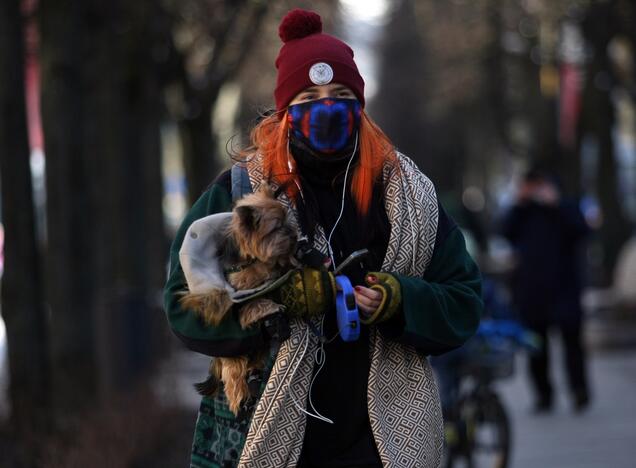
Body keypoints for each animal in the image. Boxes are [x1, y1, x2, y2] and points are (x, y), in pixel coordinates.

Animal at [179, 185, 298, 414]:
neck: (250, 257)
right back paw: (239, 393)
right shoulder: (240, 291)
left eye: (288, 221)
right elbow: (251, 300)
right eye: (277, 227)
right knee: (234, 368)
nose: (294, 234)